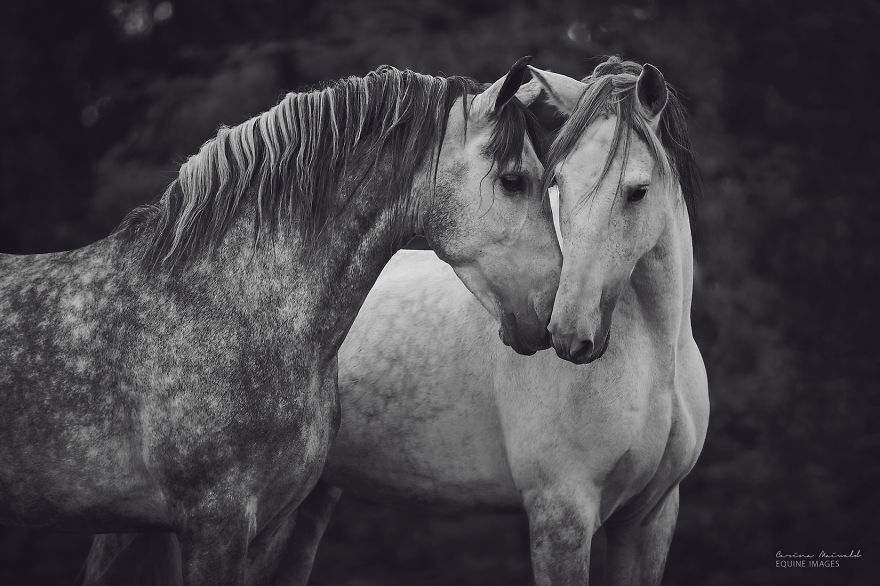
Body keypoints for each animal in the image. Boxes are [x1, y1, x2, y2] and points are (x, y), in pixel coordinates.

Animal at [86, 58, 708, 585]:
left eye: (637, 191)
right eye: (561, 184)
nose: (568, 333)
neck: (653, 355)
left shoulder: (650, 520)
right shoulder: (563, 513)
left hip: (301, 509)